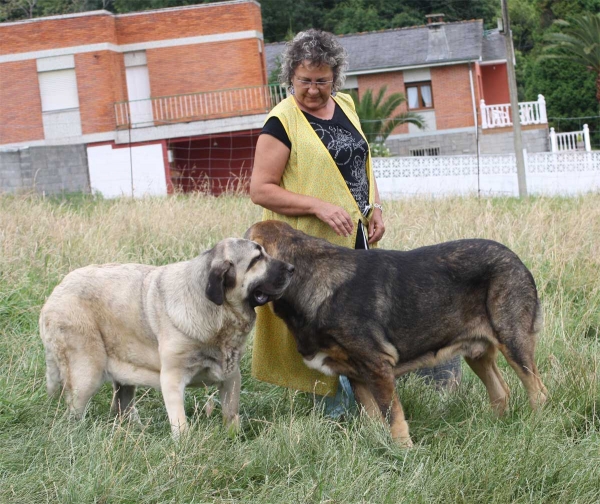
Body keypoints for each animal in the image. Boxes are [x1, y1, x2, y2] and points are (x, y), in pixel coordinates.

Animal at [39, 238, 292, 436]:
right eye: (256, 259)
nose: (291, 268)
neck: (217, 313)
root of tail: (56, 292)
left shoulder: (231, 377)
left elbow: (231, 415)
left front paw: (234, 438)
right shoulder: (172, 378)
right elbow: (180, 423)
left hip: (122, 379)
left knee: (120, 407)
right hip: (86, 374)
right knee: (74, 412)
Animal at [245, 220, 548, 444]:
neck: (307, 276)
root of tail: (515, 258)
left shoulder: (378, 367)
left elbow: (394, 418)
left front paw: (404, 453)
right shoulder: (357, 375)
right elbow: (373, 419)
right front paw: (380, 447)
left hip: (513, 342)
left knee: (538, 392)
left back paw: (535, 427)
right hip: (477, 353)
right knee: (501, 392)